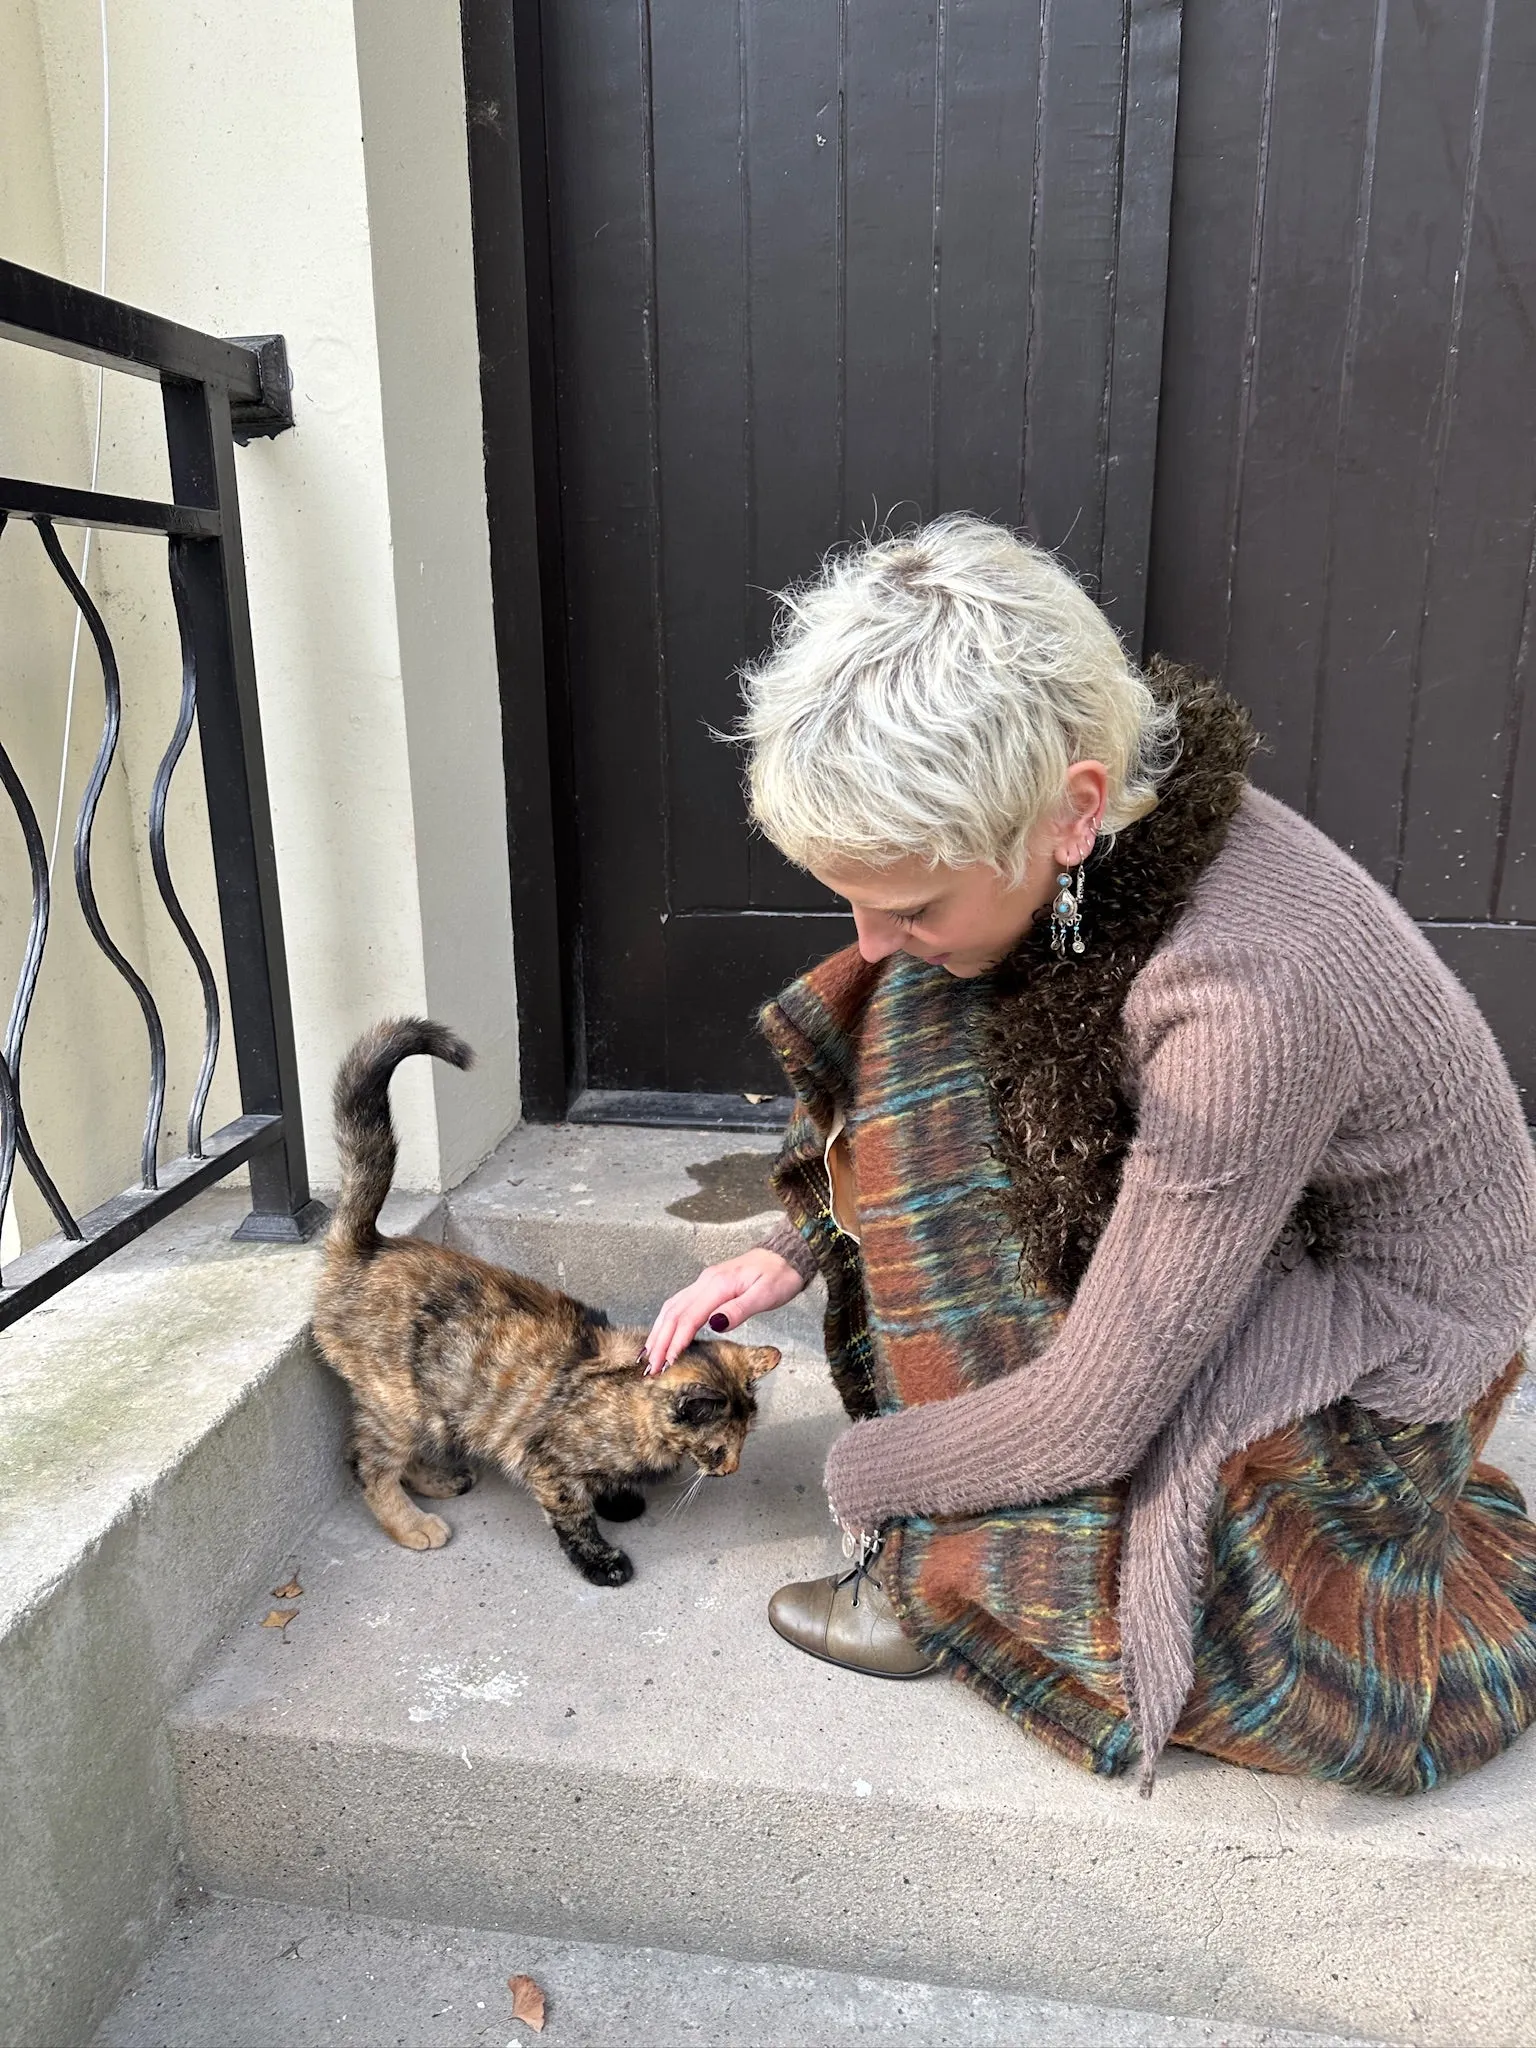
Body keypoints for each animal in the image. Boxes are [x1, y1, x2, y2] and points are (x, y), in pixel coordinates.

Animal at [309, 1024, 782, 1581]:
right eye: (720, 1446)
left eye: (746, 1438)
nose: (731, 1469)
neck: (627, 1401)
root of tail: (368, 1244)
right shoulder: (548, 1464)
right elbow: (574, 1516)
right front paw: (603, 1560)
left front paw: (618, 1500)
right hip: (399, 1403)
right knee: (368, 1463)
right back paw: (413, 1524)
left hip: (432, 1405)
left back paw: (440, 1481)